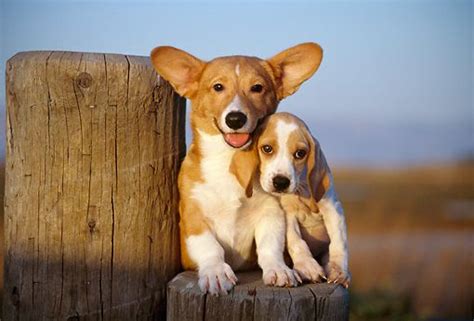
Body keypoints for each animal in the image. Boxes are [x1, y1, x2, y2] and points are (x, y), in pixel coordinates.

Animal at [150, 43, 324, 294]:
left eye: (257, 88)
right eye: (218, 87)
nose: (235, 119)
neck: (230, 161)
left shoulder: (271, 212)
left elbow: (269, 246)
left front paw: (279, 269)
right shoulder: (193, 217)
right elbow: (209, 246)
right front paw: (216, 272)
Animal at [254, 113, 350, 288]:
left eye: (300, 153)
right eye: (267, 149)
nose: (281, 182)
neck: (301, 192)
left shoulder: (333, 209)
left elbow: (339, 242)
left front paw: (338, 270)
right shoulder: (288, 215)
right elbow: (296, 241)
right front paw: (307, 266)